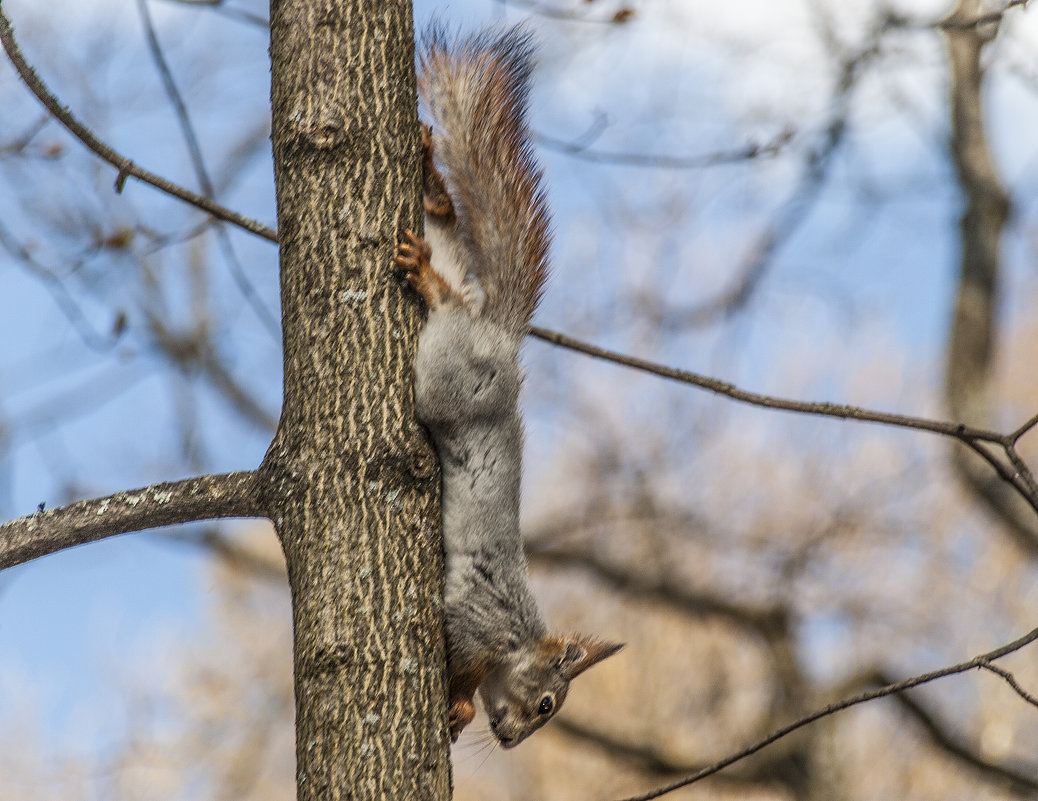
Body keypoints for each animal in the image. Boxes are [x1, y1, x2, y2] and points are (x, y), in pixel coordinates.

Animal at [394, 26, 622, 751]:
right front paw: (461, 706)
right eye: (548, 702)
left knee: (446, 231)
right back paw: (429, 278)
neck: (518, 643)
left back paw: (432, 182)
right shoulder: (474, 624)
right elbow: (461, 667)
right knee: (446, 305)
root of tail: (500, 336)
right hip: (448, 379)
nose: (516, 739)